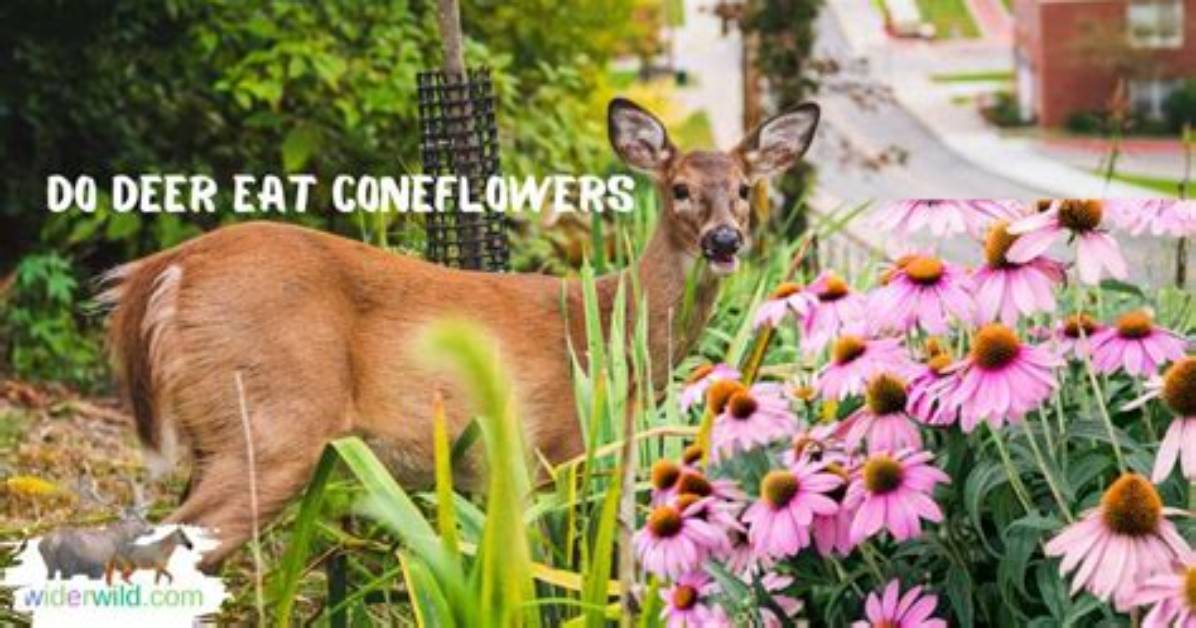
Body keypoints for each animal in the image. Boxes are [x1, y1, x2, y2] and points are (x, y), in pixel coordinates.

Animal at [99, 97, 820, 571]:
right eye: (679, 189)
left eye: (746, 189)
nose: (724, 241)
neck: (607, 332)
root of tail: (167, 268)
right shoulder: (540, 453)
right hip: (274, 424)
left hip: (218, 434)